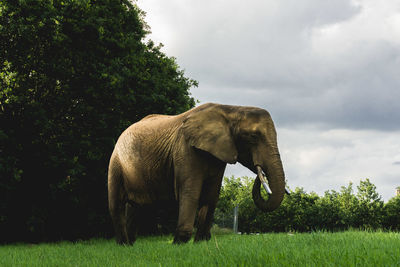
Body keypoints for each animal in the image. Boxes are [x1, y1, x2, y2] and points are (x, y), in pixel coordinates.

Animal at [108, 103, 290, 245]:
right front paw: (179, 244)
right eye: (253, 136)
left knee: (137, 207)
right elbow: (191, 192)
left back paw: (132, 244)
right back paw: (123, 245)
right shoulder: (185, 148)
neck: (231, 110)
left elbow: (212, 195)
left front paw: (200, 242)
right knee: (117, 205)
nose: (260, 170)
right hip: (116, 162)